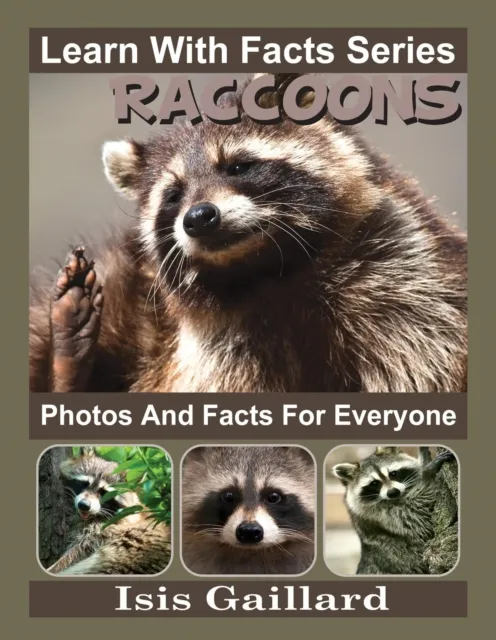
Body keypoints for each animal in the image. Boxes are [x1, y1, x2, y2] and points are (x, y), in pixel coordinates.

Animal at [29, 72, 467, 392]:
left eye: (238, 166)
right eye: (173, 195)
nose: (198, 217)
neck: (269, 271)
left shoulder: (405, 279)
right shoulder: (217, 349)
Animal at [333, 446, 456, 575]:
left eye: (393, 473)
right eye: (374, 483)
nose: (393, 492)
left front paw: (424, 459)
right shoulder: (384, 516)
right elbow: (418, 512)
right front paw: (427, 471)